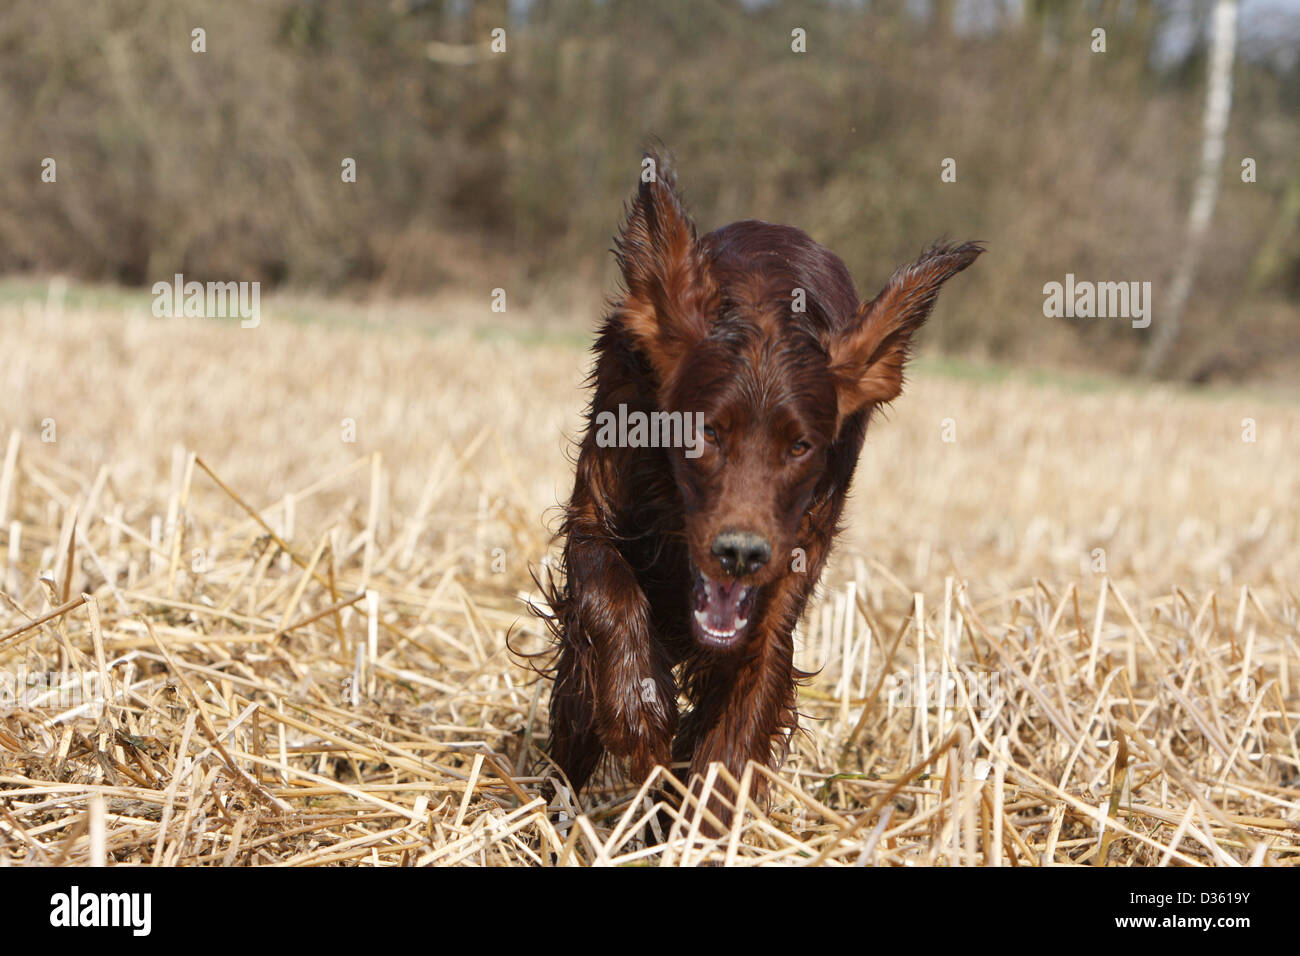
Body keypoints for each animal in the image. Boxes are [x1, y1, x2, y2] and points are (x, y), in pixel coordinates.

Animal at [540, 151, 982, 832]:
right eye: (705, 432)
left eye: (799, 447)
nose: (740, 553)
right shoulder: (595, 513)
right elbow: (609, 600)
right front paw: (642, 716)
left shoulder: (781, 589)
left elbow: (736, 734)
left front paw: (698, 829)